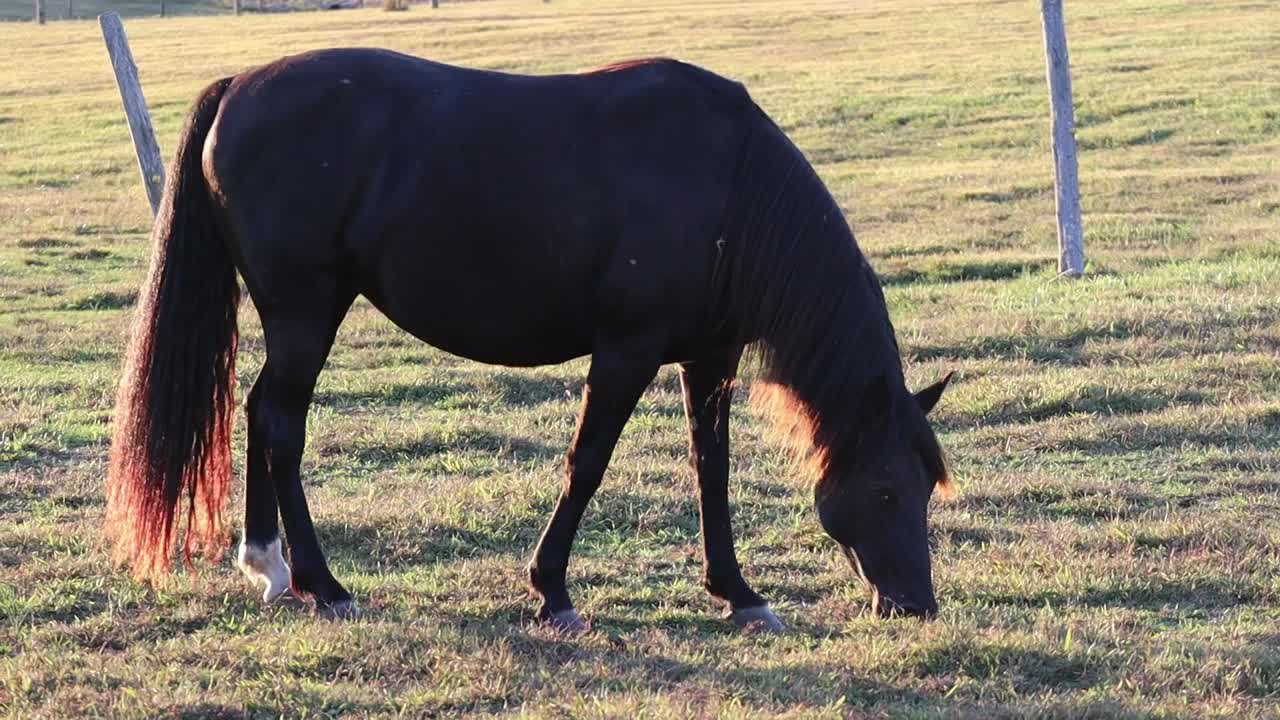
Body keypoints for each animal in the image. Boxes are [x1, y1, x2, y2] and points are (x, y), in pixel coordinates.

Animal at [104, 48, 954, 632]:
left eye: (922, 487)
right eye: (886, 489)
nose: (915, 605)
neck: (730, 187)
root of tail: (241, 84)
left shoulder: (708, 357)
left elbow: (710, 471)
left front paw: (738, 594)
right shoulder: (626, 351)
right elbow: (587, 464)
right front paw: (553, 592)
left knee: (259, 412)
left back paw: (270, 565)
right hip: (306, 311)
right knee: (281, 423)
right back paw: (322, 582)